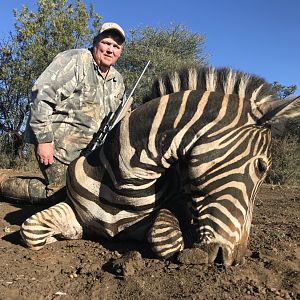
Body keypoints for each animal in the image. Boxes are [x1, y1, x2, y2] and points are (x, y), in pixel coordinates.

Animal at [19, 65, 298, 264]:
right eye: (262, 167)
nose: (237, 259)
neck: (124, 181)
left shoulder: (176, 206)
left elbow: (165, 237)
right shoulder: (71, 208)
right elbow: (30, 230)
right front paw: (63, 235)